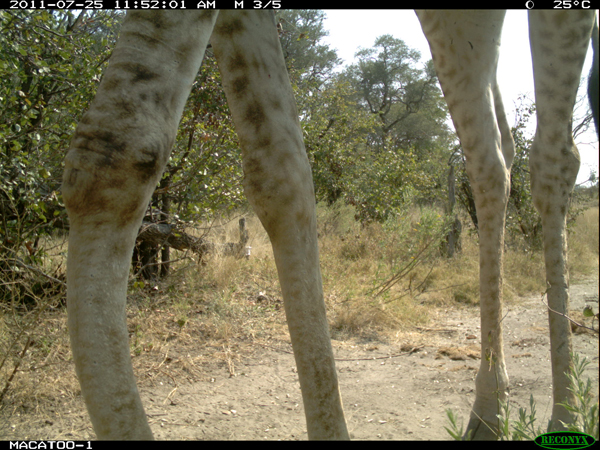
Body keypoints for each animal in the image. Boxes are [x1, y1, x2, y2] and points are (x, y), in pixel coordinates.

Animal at [63, 8, 596, 442]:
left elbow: (128, 143)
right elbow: (273, 168)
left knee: (552, 158)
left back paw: (565, 415)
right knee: (494, 151)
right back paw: (488, 414)